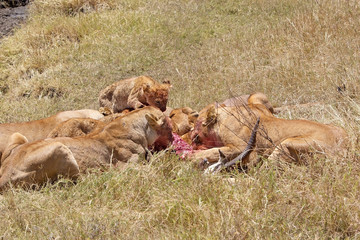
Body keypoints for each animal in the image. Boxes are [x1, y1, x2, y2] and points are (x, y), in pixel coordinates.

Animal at [0, 107, 173, 191]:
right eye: (169, 125)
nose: (173, 138)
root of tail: (4, 176)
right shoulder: (127, 168)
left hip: (18, 136)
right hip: (59, 147)